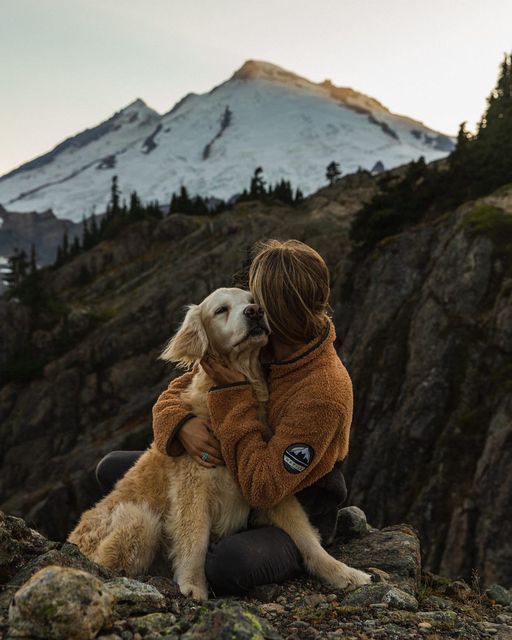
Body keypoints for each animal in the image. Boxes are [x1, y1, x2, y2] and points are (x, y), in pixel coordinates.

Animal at [69, 288, 372, 596]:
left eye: (253, 300)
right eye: (220, 310)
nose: (255, 312)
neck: (240, 388)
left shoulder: (267, 488)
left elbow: (305, 536)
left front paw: (343, 573)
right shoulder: (193, 489)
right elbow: (194, 539)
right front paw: (192, 585)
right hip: (141, 519)